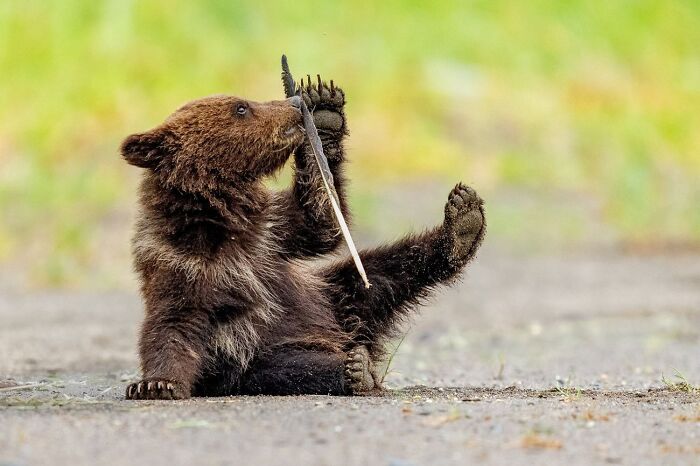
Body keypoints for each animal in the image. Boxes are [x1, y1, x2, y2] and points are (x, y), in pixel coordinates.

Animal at [121, 74, 485, 399]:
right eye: (241, 107)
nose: (292, 105)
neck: (221, 219)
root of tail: (348, 333)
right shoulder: (181, 266)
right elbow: (171, 327)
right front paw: (156, 384)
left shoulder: (271, 233)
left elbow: (320, 222)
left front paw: (323, 113)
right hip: (263, 358)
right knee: (298, 368)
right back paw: (355, 370)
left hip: (331, 295)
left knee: (386, 272)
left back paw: (462, 224)